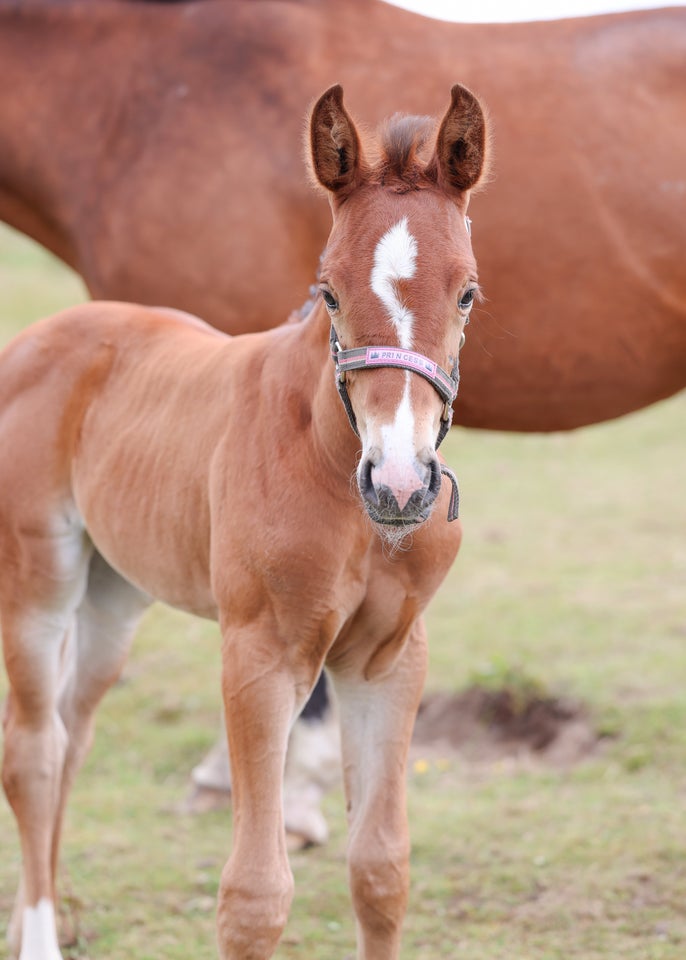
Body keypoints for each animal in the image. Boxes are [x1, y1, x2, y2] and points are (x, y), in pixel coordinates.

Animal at [1, 84, 490, 960]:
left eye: (466, 292)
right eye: (328, 291)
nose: (400, 484)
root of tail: (38, 337)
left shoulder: (388, 659)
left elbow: (381, 869)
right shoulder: (261, 654)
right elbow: (255, 897)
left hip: (113, 596)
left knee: (70, 734)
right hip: (37, 582)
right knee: (32, 750)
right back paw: (40, 936)